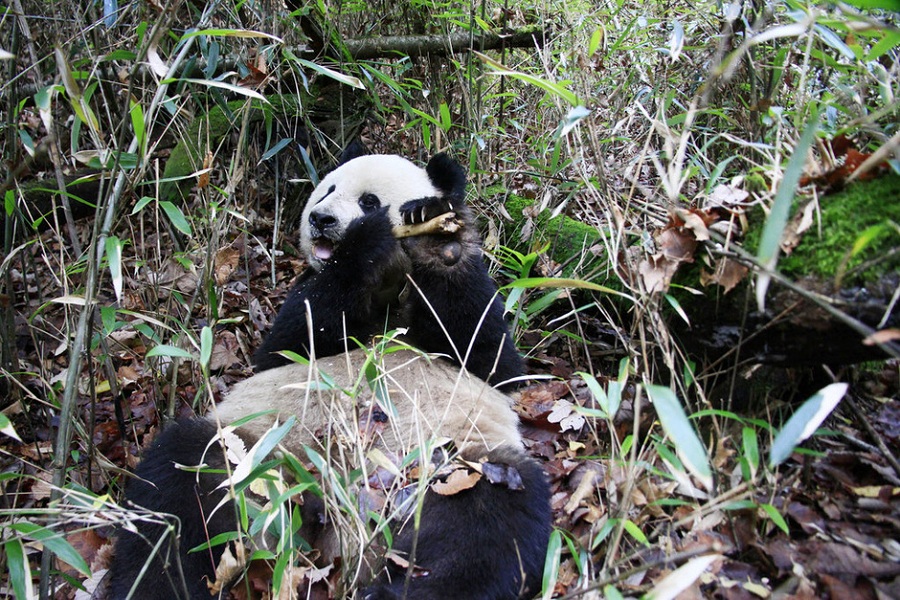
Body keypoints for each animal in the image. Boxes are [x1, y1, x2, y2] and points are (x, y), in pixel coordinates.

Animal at [109, 156, 552, 600]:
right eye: (327, 190)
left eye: (369, 199)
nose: (321, 219)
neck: (387, 285)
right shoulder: (304, 302)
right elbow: (288, 343)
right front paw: (363, 244)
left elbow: (492, 360)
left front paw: (434, 238)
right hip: (254, 450)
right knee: (182, 491)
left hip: (444, 463)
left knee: (485, 522)